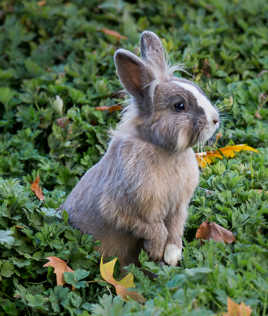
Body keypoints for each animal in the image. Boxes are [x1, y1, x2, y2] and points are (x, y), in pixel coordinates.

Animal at [61, 31, 220, 266]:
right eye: (179, 106)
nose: (215, 120)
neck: (163, 148)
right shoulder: (123, 210)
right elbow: (155, 229)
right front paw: (156, 252)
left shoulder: (178, 207)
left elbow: (175, 229)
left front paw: (172, 256)